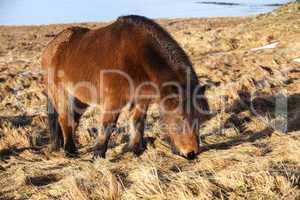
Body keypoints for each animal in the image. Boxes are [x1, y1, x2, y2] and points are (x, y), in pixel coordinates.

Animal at [42, 15, 210, 159]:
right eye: (181, 118)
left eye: (199, 119)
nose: (191, 153)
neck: (140, 57)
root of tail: (52, 46)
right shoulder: (114, 101)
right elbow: (108, 125)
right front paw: (98, 155)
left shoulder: (142, 100)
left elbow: (138, 121)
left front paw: (137, 150)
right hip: (62, 94)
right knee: (65, 118)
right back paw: (70, 151)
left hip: (80, 99)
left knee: (74, 120)